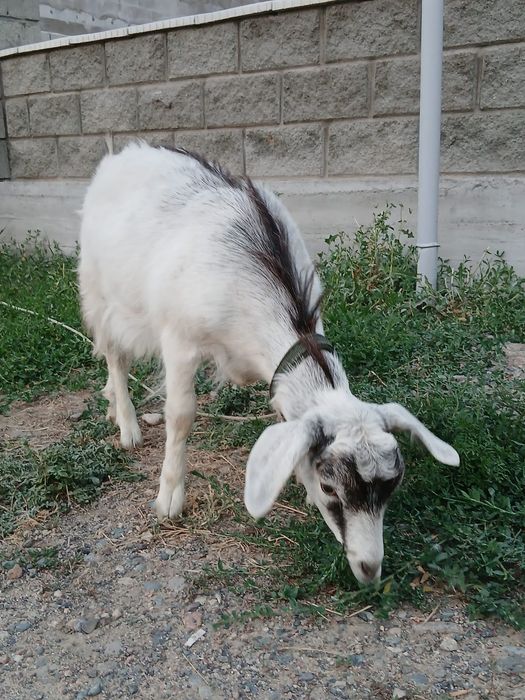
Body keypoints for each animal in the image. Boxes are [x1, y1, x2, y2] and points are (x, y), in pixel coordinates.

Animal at [78, 143, 459, 585]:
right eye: (330, 487)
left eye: (391, 487)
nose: (369, 569)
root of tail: (121, 154)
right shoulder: (180, 339)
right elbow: (181, 414)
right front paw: (169, 497)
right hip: (99, 291)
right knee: (114, 354)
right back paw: (127, 424)